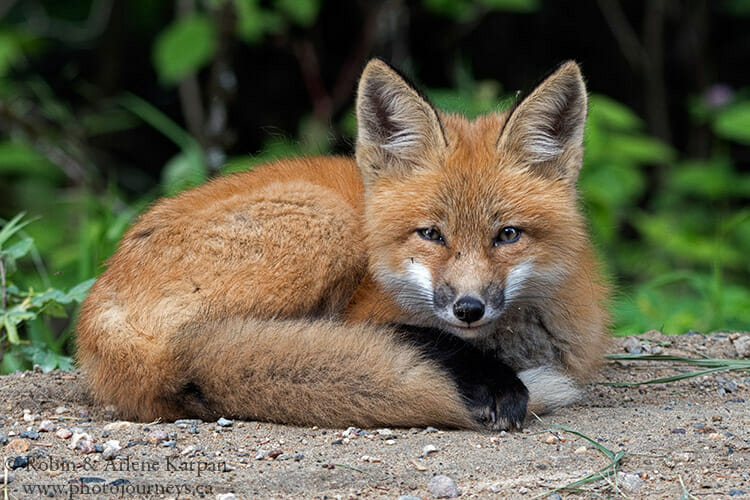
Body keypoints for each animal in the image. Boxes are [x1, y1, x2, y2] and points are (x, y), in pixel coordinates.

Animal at [76, 59, 612, 430]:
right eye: (431, 234)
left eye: (507, 235)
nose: (468, 308)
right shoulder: (369, 311)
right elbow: (414, 333)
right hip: (326, 224)